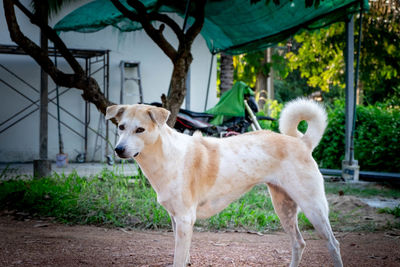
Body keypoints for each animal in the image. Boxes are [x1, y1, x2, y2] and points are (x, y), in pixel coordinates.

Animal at [104, 99, 342, 267]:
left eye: (140, 130)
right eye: (121, 127)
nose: (118, 150)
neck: (166, 155)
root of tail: (302, 143)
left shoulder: (185, 219)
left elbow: (179, 259)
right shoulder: (176, 219)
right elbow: (184, 256)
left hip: (314, 208)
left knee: (333, 244)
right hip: (284, 207)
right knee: (298, 243)